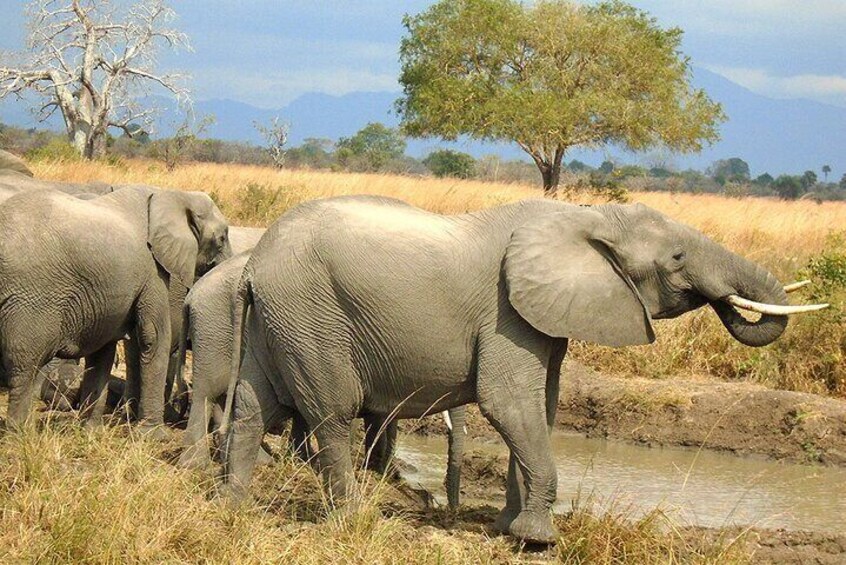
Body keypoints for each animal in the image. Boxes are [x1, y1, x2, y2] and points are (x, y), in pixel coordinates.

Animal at [0, 186, 232, 432]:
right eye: (221, 239)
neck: (173, 195)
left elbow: (104, 350)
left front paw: (90, 432)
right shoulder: (152, 269)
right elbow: (154, 335)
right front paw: (154, 434)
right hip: (30, 297)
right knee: (25, 366)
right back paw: (20, 433)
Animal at [220, 194, 828, 540]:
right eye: (677, 259)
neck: (587, 218)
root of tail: (253, 266)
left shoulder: (542, 316)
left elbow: (542, 408)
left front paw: (507, 530)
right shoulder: (507, 312)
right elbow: (509, 403)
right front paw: (539, 541)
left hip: (278, 319)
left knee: (252, 407)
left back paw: (233, 505)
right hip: (311, 314)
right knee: (332, 413)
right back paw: (346, 520)